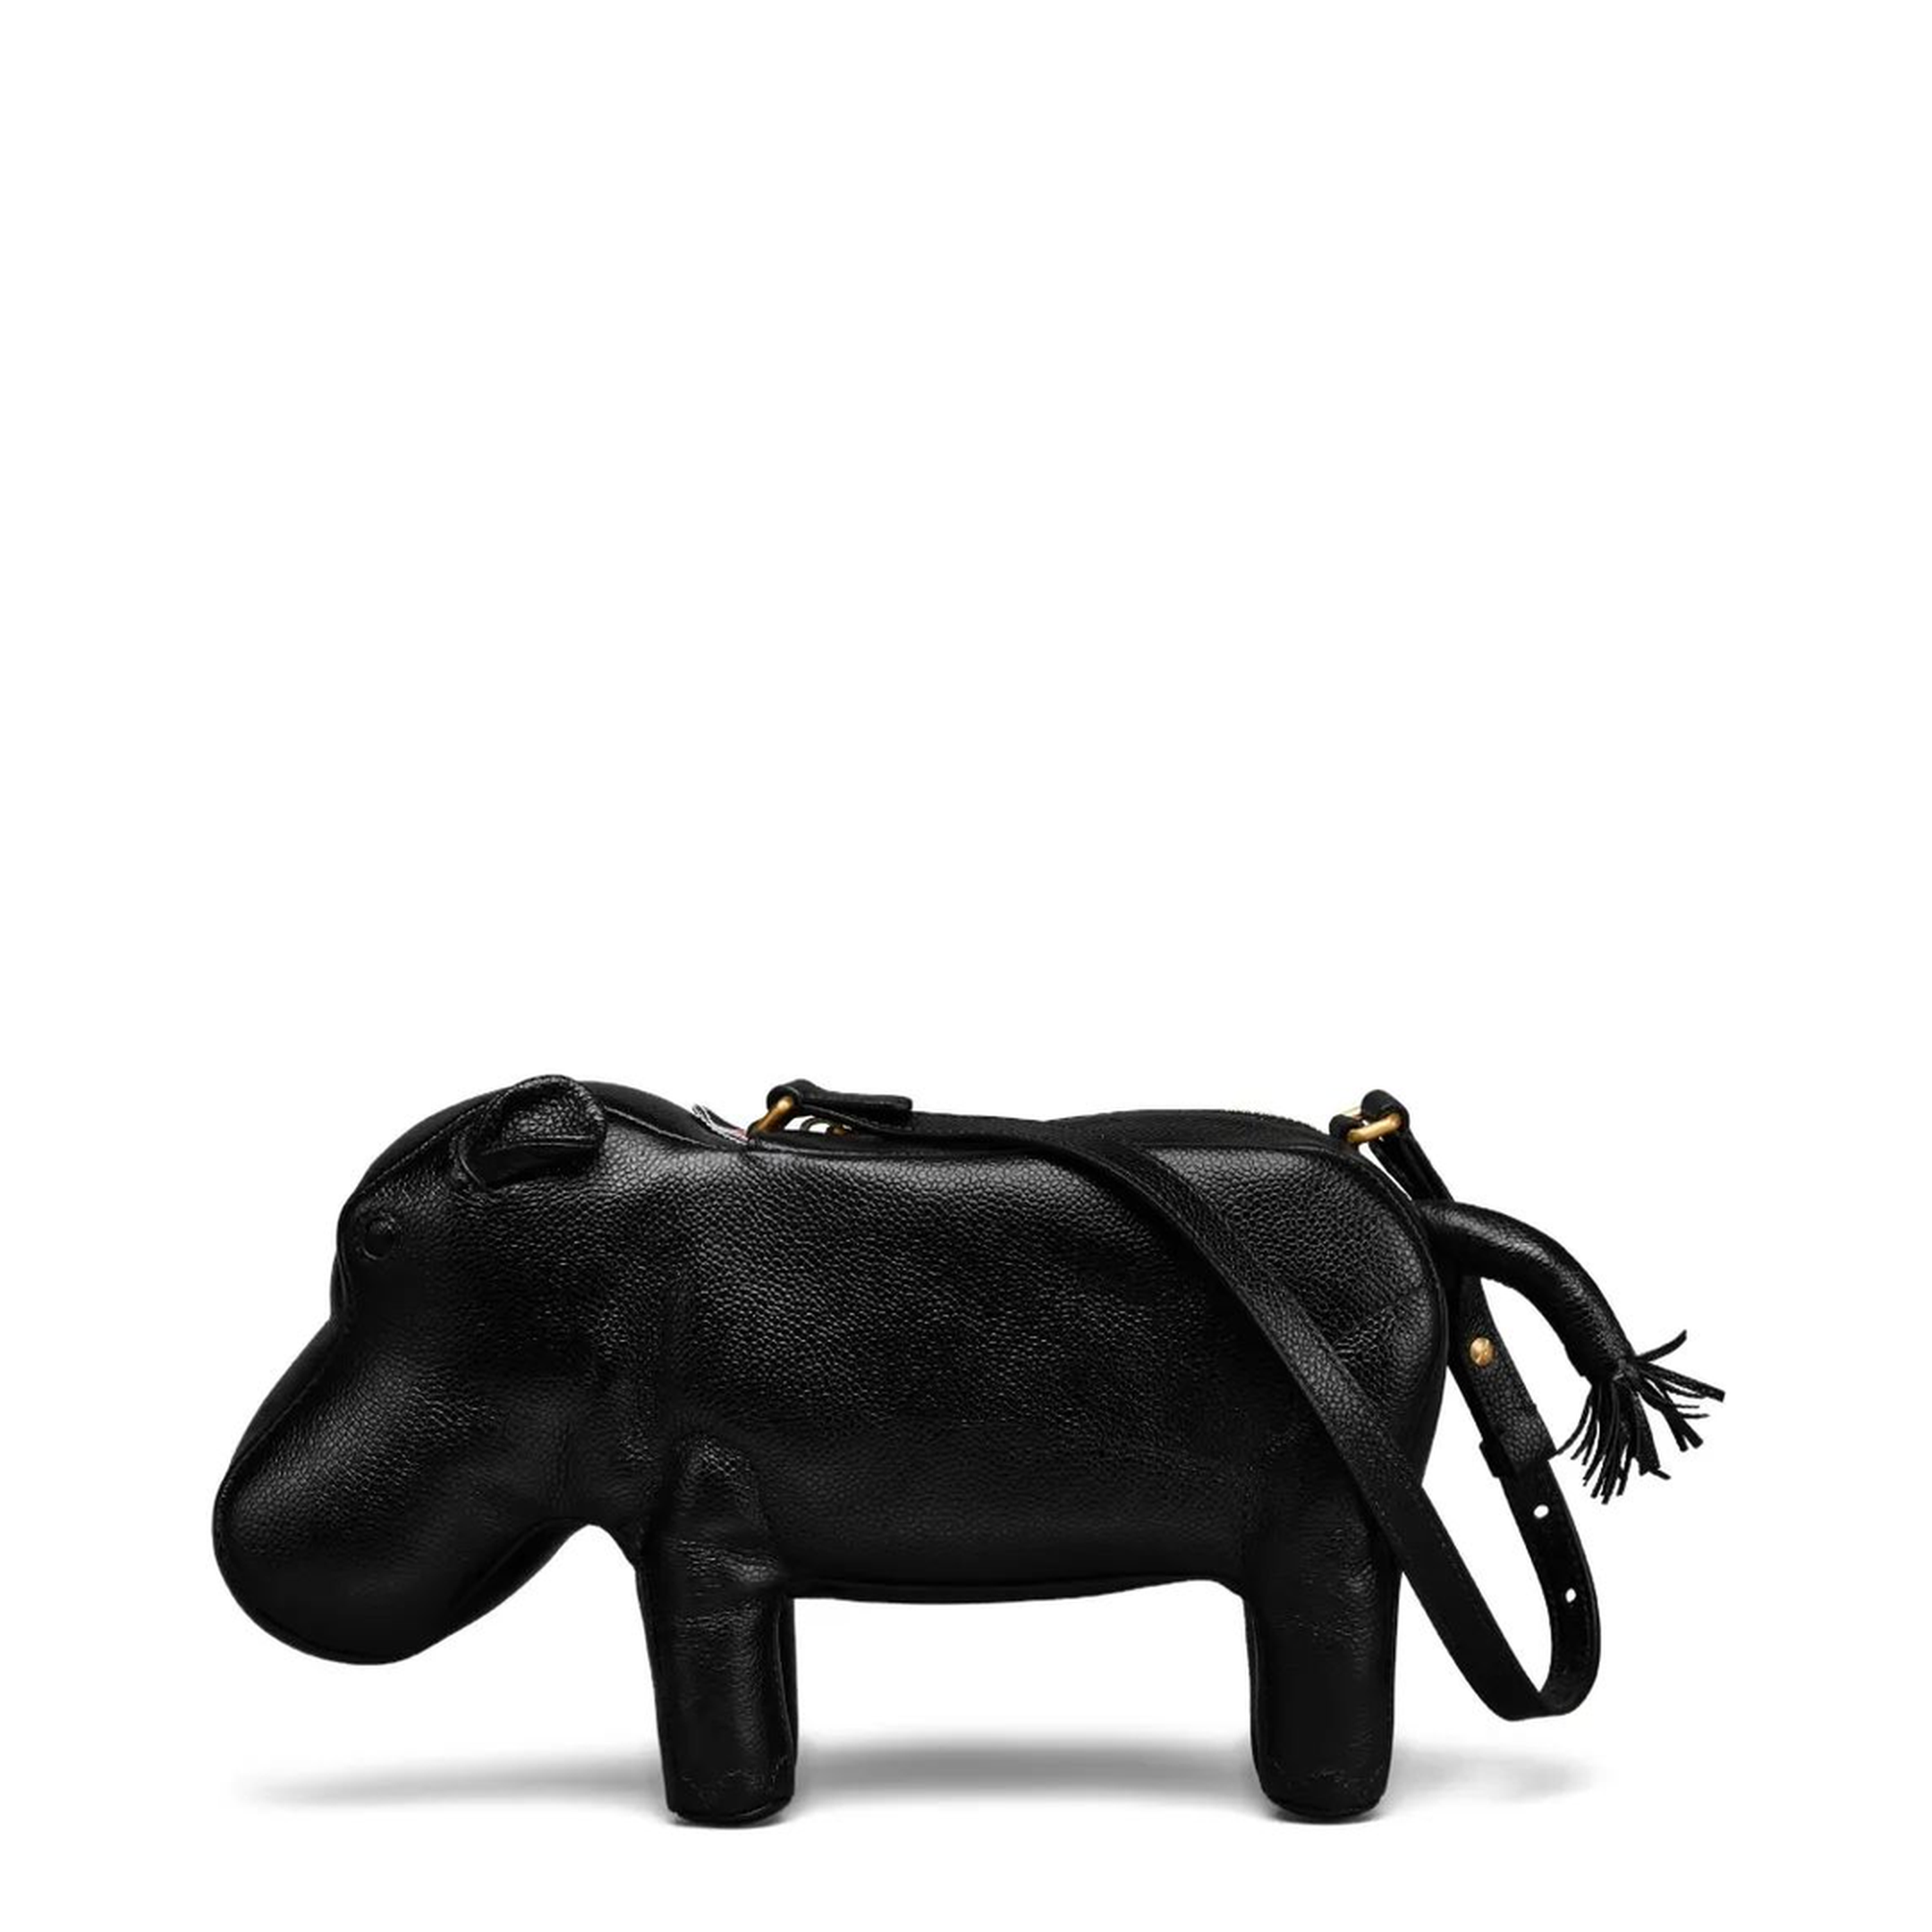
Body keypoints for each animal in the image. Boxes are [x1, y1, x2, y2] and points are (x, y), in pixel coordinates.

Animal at [214, 1076, 1720, 1823]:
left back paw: (1323, 1799)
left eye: (374, 1244)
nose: (234, 1529)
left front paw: (723, 1812)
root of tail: (1421, 1209)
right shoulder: (726, 1545)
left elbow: (708, 1692)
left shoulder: (697, 1539)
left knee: (1335, 1653)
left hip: (1333, 1541)